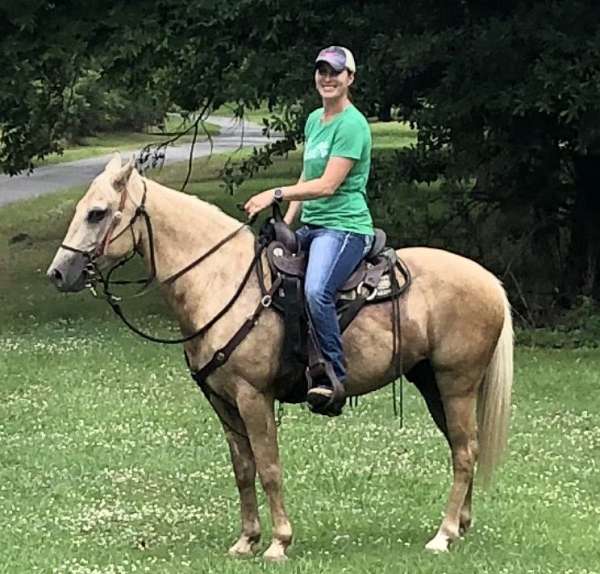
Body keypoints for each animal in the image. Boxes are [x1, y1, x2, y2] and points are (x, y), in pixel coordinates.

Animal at [49, 154, 512, 564]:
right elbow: (243, 468)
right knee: (460, 447)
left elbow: (269, 466)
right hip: (432, 383)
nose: (58, 273)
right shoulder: (222, 401)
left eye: (97, 213)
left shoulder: (254, 396)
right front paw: (246, 540)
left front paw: (278, 543)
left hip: (456, 383)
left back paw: (443, 534)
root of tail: (489, 280)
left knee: (465, 452)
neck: (222, 280)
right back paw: (460, 526)